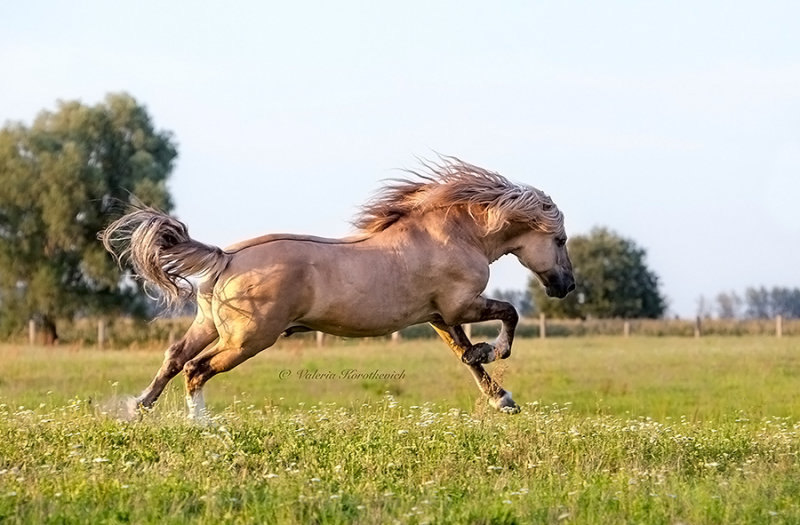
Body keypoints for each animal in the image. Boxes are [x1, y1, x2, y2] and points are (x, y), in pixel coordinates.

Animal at [101, 158, 576, 420]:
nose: (566, 286)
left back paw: (137, 409)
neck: (455, 235)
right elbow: (510, 315)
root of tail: (226, 258)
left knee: (174, 358)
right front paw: (494, 354)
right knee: (196, 369)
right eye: (560, 240)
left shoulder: (440, 316)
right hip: (247, 339)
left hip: (211, 327)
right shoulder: (460, 306)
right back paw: (203, 425)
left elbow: (467, 358)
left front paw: (502, 398)